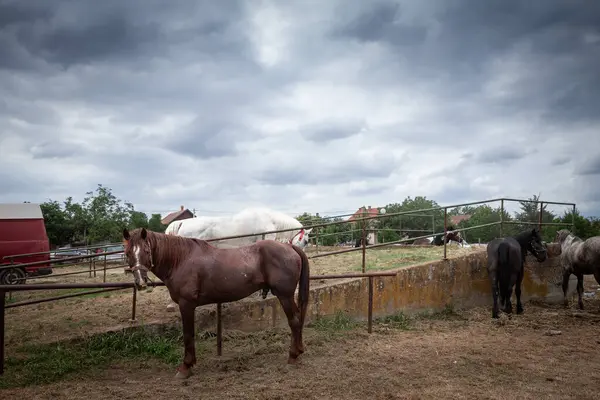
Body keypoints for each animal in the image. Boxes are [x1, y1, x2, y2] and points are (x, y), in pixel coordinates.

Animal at [122, 227, 310, 380]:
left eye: (147, 250)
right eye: (128, 253)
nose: (140, 282)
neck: (181, 260)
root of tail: (290, 247)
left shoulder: (186, 305)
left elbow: (188, 334)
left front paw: (185, 367)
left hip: (285, 295)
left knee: (294, 321)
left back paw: (293, 355)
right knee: (298, 319)